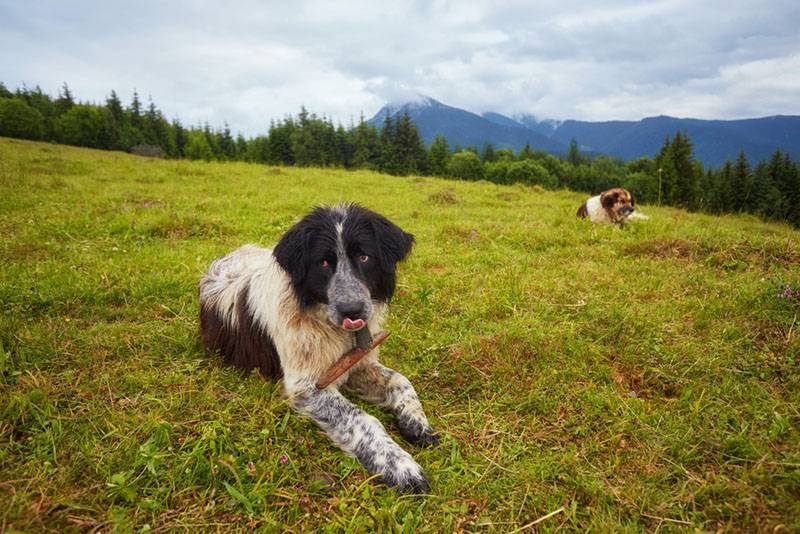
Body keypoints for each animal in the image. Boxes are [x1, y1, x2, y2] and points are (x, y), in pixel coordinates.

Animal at [198, 204, 438, 494]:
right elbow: (362, 419)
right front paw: (398, 465)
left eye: (365, 257)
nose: (352, 311)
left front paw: (417, 421)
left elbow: (400, 380)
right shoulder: (307, 386)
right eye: (323, 263)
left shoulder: (357, 363)